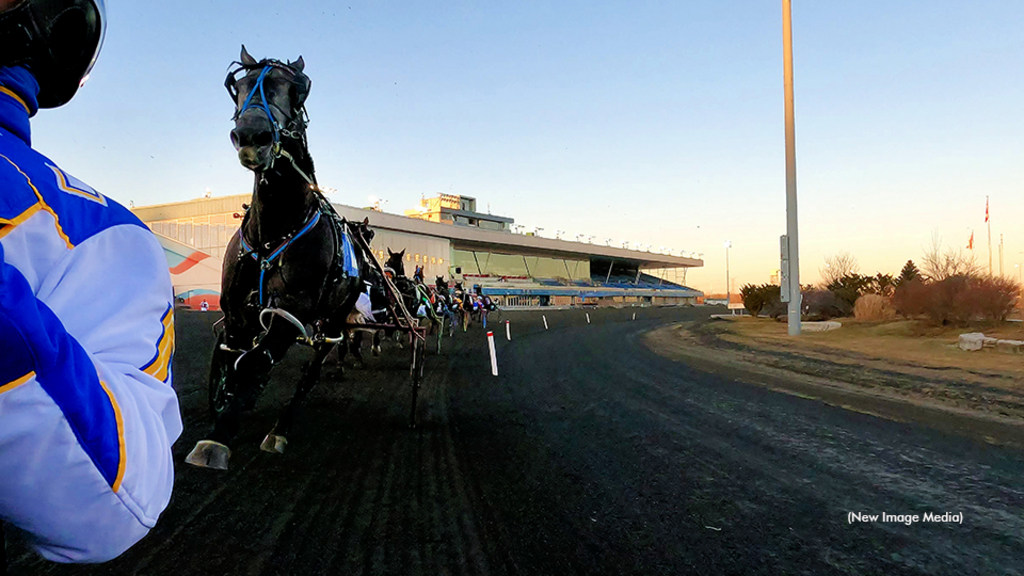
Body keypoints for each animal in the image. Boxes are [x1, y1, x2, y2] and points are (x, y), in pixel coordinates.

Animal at [186, 44, 366, 467]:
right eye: (238, 87)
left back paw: (280, 429)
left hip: (335, 317)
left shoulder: (292, 311)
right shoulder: (236, 309)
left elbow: (254, 361)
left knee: (312, 371)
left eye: (298, 88)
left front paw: (219, 435)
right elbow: (232, 356)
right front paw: (225, 410)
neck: (272, 236)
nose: (253, 135)